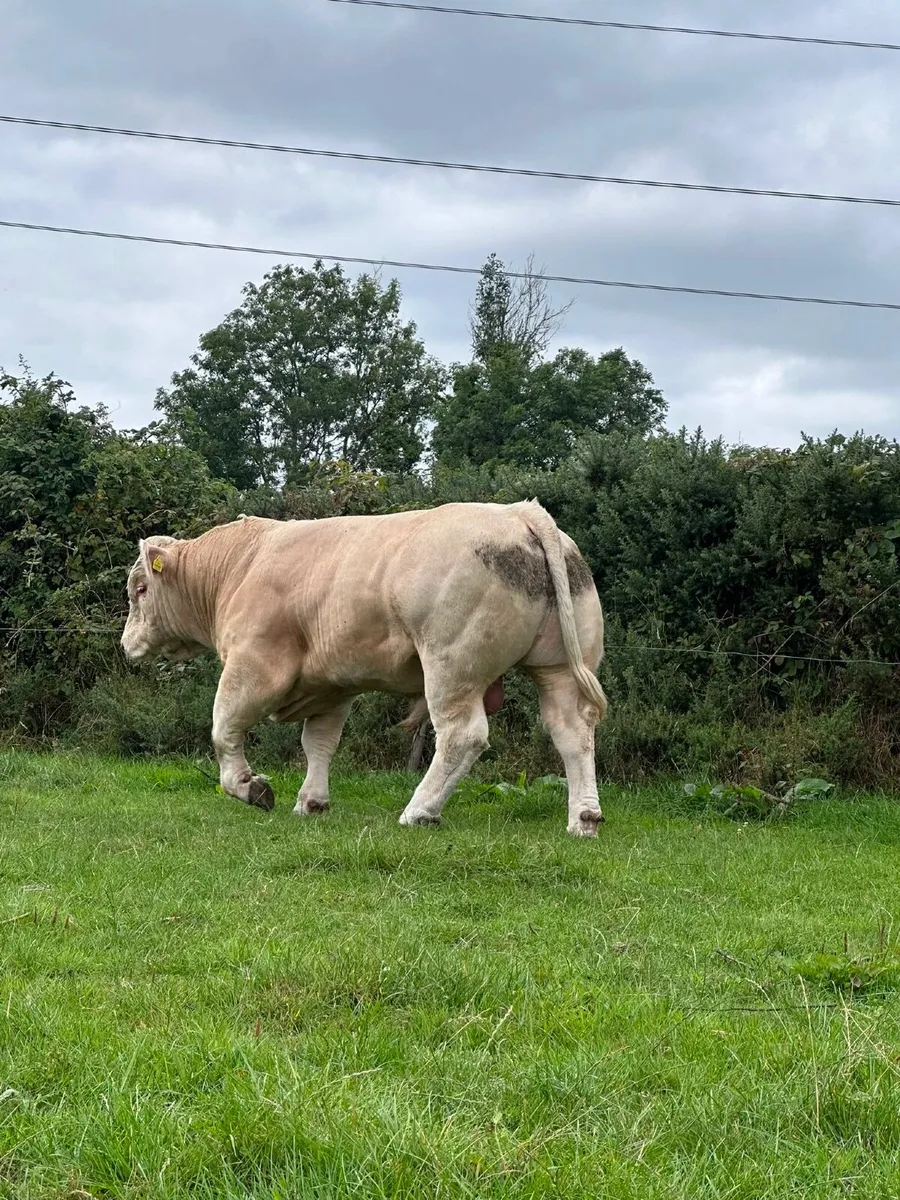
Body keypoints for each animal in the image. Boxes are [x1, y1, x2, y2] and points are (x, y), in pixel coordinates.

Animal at [120, 500, 608, 836]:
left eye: (140, 588)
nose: (126, 644)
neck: (240, 566)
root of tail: (519, 512)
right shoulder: (329, 686)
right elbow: (319, 744)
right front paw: (311, 803)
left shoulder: (253, 664)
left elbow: (224, 729)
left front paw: (249, 787)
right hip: (559, 667)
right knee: (572, 733)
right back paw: (583, 818)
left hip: (452, 667)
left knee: (462, 736)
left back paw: (419, 811)